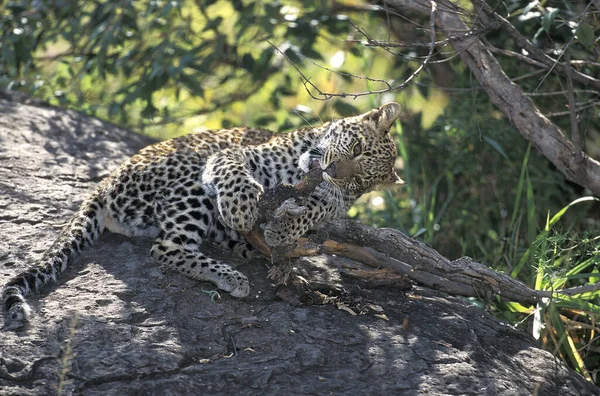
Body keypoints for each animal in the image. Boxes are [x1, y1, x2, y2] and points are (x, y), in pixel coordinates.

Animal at [1, 103, 404, 332]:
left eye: (358, 180)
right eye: (357, 147)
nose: (334, 171)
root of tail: (104, 184)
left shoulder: (331, 205)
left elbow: (318, 209)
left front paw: (284, 227)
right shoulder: (238, 155)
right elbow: (233, 170)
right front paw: (242, 205)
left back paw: (255, 253)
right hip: (191, 176)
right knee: (165, 248)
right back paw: (234, 274)